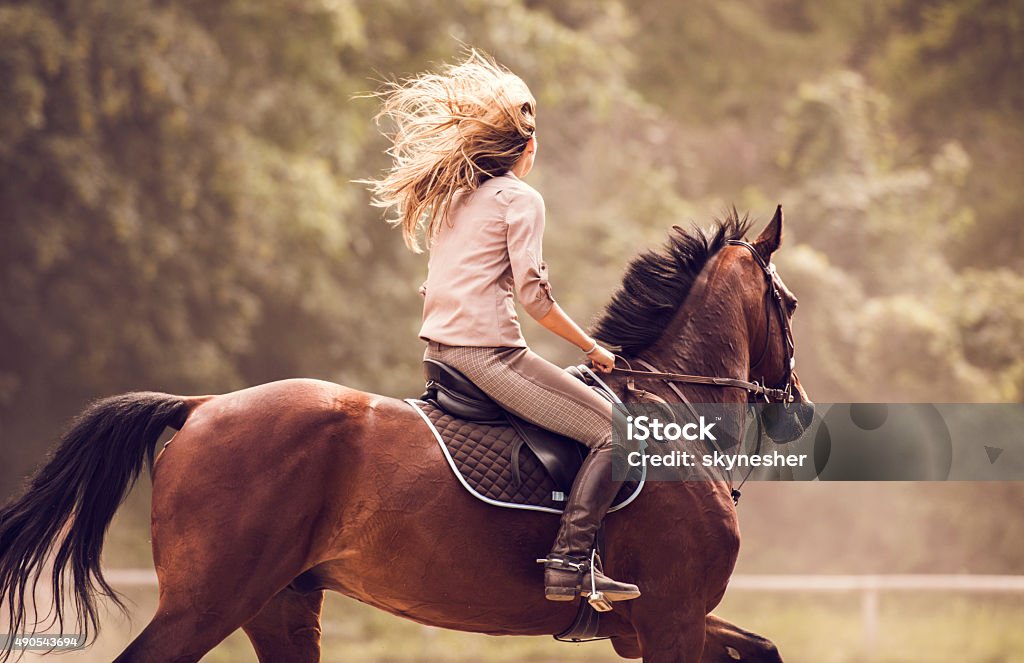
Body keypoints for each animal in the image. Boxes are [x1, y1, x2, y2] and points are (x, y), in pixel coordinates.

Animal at [2, 205, 815, 659]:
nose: (800, 408)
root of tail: (202, 405)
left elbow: (768, 648)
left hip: (280, 605)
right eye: (792, 305)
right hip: (210, 603)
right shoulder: (671, 617)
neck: (672, 405)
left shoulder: (648, 625)